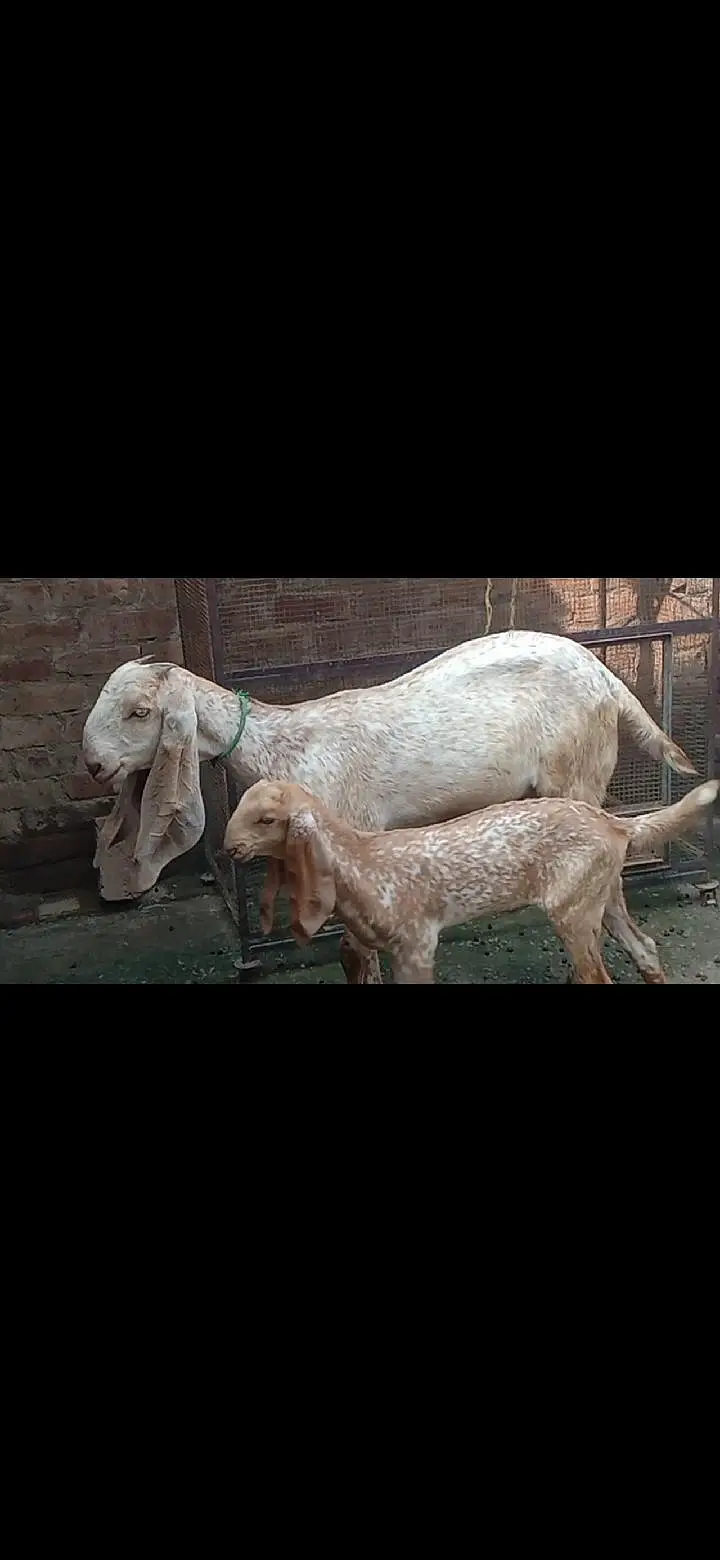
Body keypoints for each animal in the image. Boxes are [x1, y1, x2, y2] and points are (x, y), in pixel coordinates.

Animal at [224, 779, 718, 984]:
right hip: (604, 896)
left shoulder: (417, 945)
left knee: (597, 977)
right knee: (645, 949)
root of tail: (616, 824)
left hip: (572, 913)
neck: (360, 862)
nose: (228, 848)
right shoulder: (370, 945)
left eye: (266, 819)